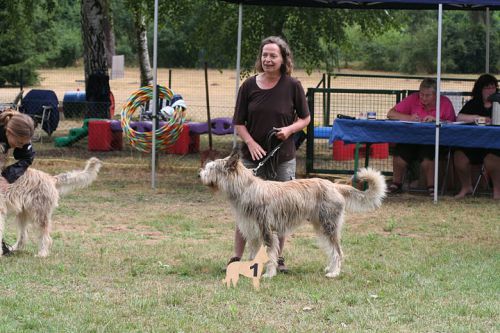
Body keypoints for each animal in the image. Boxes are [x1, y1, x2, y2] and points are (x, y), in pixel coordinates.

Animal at [199, 150, 386, 278]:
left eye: (211, 168)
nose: (199, 174)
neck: (246, 188)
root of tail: (334, 185)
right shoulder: (253, 233)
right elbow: (253, 255)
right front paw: (253, 271)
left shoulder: (267, 231)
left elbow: (271, 255)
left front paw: (269, 274)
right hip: (321, 227)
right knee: (332, 250)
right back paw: (331, 268)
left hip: (329, 227)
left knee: (337, 251)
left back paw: (334, 273)